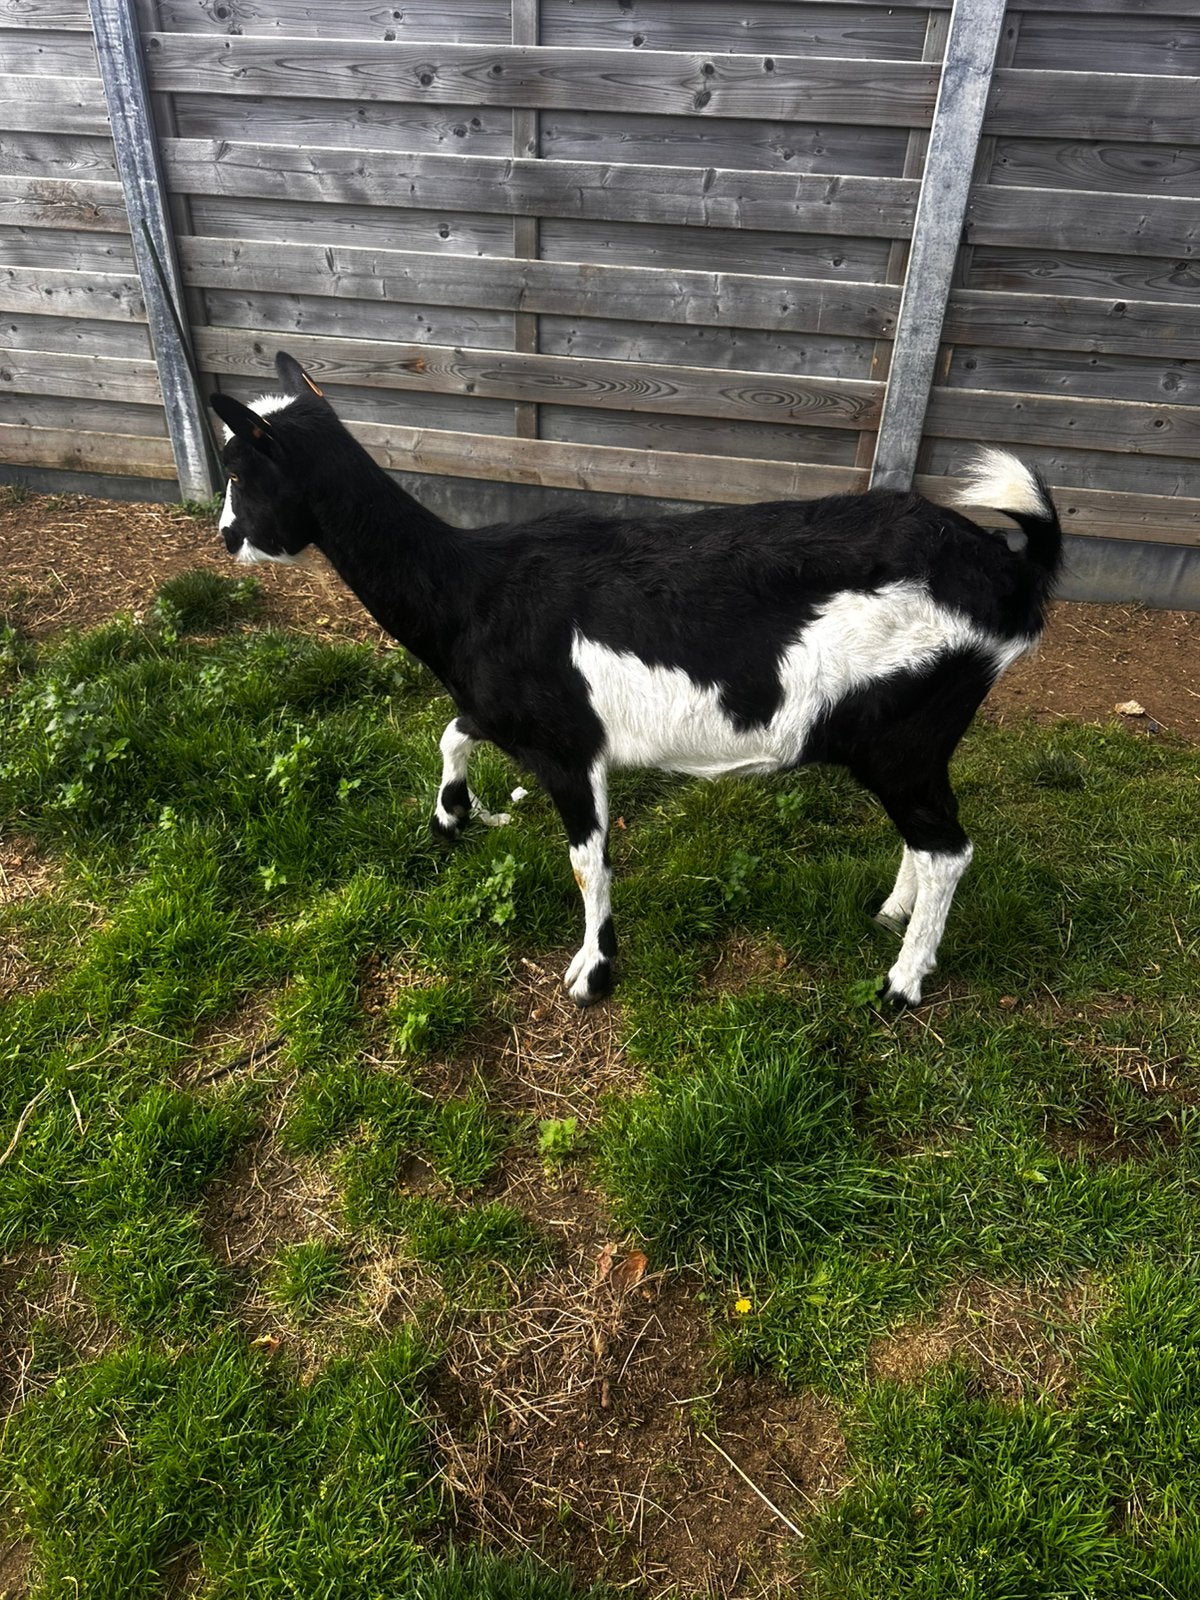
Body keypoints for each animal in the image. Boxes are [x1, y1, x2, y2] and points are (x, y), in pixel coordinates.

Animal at [211, 351, 1062, 1008]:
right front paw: (458, 815)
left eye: (241, 471)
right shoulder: (512, 712)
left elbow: (588, 863)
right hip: (908, 746)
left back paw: (902, 982)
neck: (469, 591)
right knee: (927, 839)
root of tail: (1008, 575)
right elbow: (452, 732)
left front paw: (593, 973)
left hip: (906, 729)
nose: (225, 539)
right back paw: (891, 914)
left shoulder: (569, 748)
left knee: (949, 849)